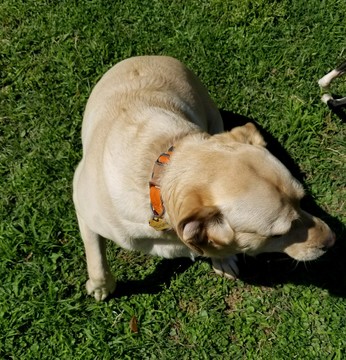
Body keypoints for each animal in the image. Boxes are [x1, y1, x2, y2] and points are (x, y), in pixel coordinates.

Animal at [73, 55, 336, 300]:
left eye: (302, 200)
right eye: (278, 235)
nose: (332, 241)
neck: (159, 180)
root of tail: (145, 56)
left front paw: (223, 258)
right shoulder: (82, 205)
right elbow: (96, 259)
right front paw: (101, 287)